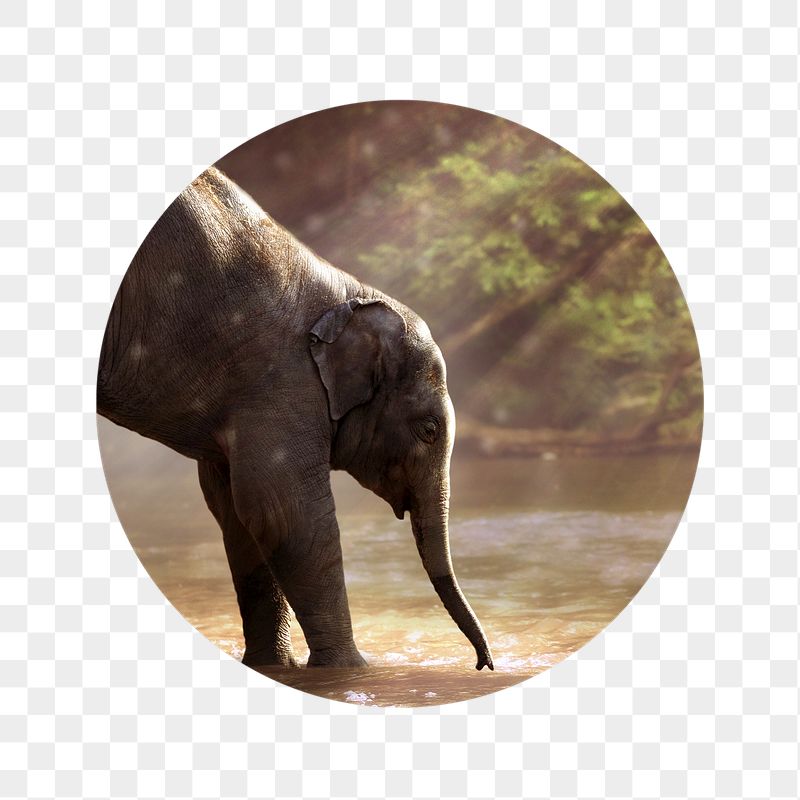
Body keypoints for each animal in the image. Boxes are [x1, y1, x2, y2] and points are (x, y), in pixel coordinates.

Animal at [97, 166, 493, 671]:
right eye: (429, 430)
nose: (484, 664)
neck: (349, 295)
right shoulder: (280, 382)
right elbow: (283, 510)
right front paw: (351, 670)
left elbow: (237, 511)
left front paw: (274, 667)